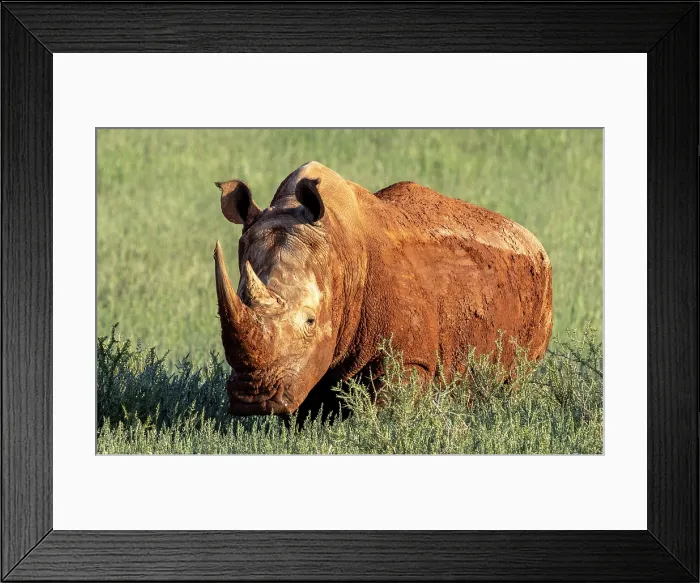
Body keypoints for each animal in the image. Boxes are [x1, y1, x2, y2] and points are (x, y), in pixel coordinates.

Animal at [214, 161, 552, 419]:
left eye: (310, 321)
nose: (252, 399)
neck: (340, 253)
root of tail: (532, 239)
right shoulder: (304, 365)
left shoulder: (409, 358)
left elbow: (386, 410)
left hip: (541, 288)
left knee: (515, 380)